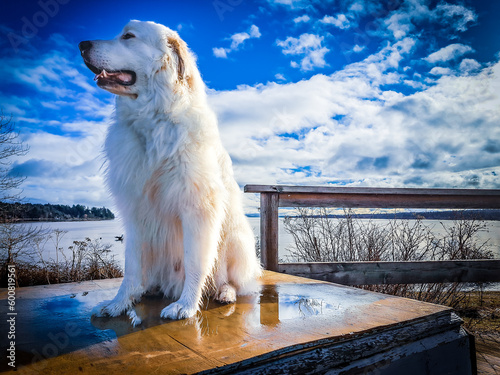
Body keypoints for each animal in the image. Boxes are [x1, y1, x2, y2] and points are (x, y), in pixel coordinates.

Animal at [79, 20, 262, 326]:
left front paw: (185, 306)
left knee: (234, 281)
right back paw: (150, 290)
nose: (81, 45)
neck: (154, 119)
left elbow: (195, 262)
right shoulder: (135, 215)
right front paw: (118, 304)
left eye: (128, 36)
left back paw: (225, 292)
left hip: (237, 239)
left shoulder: (198, 210)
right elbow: (131, 268)